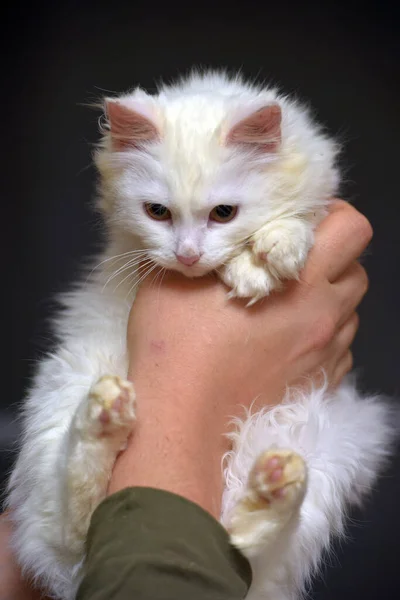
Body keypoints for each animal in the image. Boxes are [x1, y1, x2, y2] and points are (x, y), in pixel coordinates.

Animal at [6, 74, 394, 600]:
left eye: (224, 213)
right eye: (157, 212)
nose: (187, 255)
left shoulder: (322, 192)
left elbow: (299, 219)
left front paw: (272, 251)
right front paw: (248, 270)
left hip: (340, 436)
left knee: (243, 542)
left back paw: (275, 484)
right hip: (62, 387)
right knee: (75, 520)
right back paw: (106, 414)